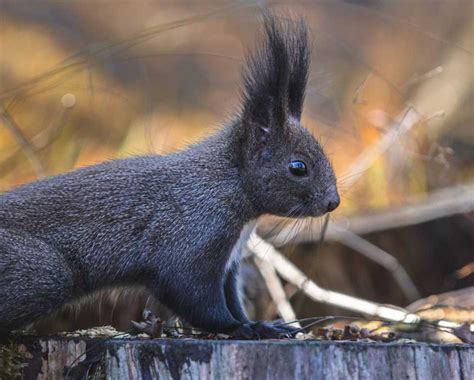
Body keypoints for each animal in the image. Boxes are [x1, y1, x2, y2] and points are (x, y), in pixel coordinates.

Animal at [0, 15, 340, 338]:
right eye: (298, 167)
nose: (333, 202)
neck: (226, 182)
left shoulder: (229, 264)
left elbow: (231, 300)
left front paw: (264, 325)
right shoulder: (189, 241)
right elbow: (197, 299)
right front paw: (244, 328)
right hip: (42, 273)